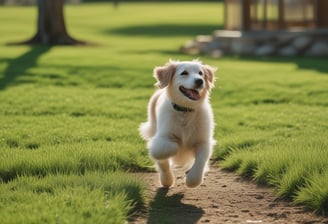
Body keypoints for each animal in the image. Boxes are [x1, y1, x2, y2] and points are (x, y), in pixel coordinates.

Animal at [139, 59, 218, 187]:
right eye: (184, 73)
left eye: (200, 73)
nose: (199, 81)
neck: (185, 110)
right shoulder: (162, 138)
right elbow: (165, 149)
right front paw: (178, 149)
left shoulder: (203, 142)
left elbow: (200, 163)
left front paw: (191, 179)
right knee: (163, 164)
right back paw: (167, 180)